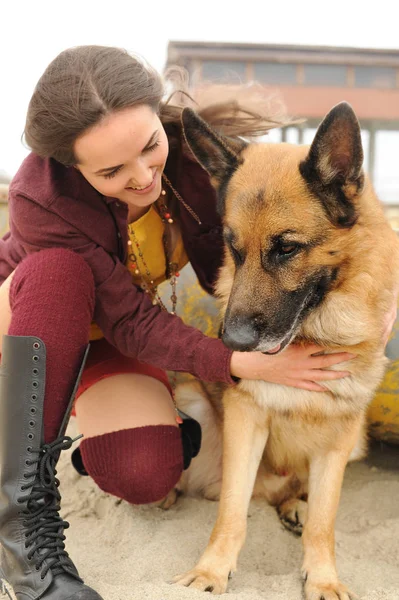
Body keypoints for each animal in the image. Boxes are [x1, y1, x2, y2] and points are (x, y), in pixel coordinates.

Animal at [170, 104, 399, 600]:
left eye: (287, 249)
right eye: (233, 248)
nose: (232, 344)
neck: (314, 334)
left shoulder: (338, 441)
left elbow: (324, 524)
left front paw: (324, 577)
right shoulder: (246, 421)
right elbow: (231, 514)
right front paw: (211, 571)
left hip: (355, 444)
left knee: (295, 497)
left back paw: (294, 506)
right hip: (190, 400)